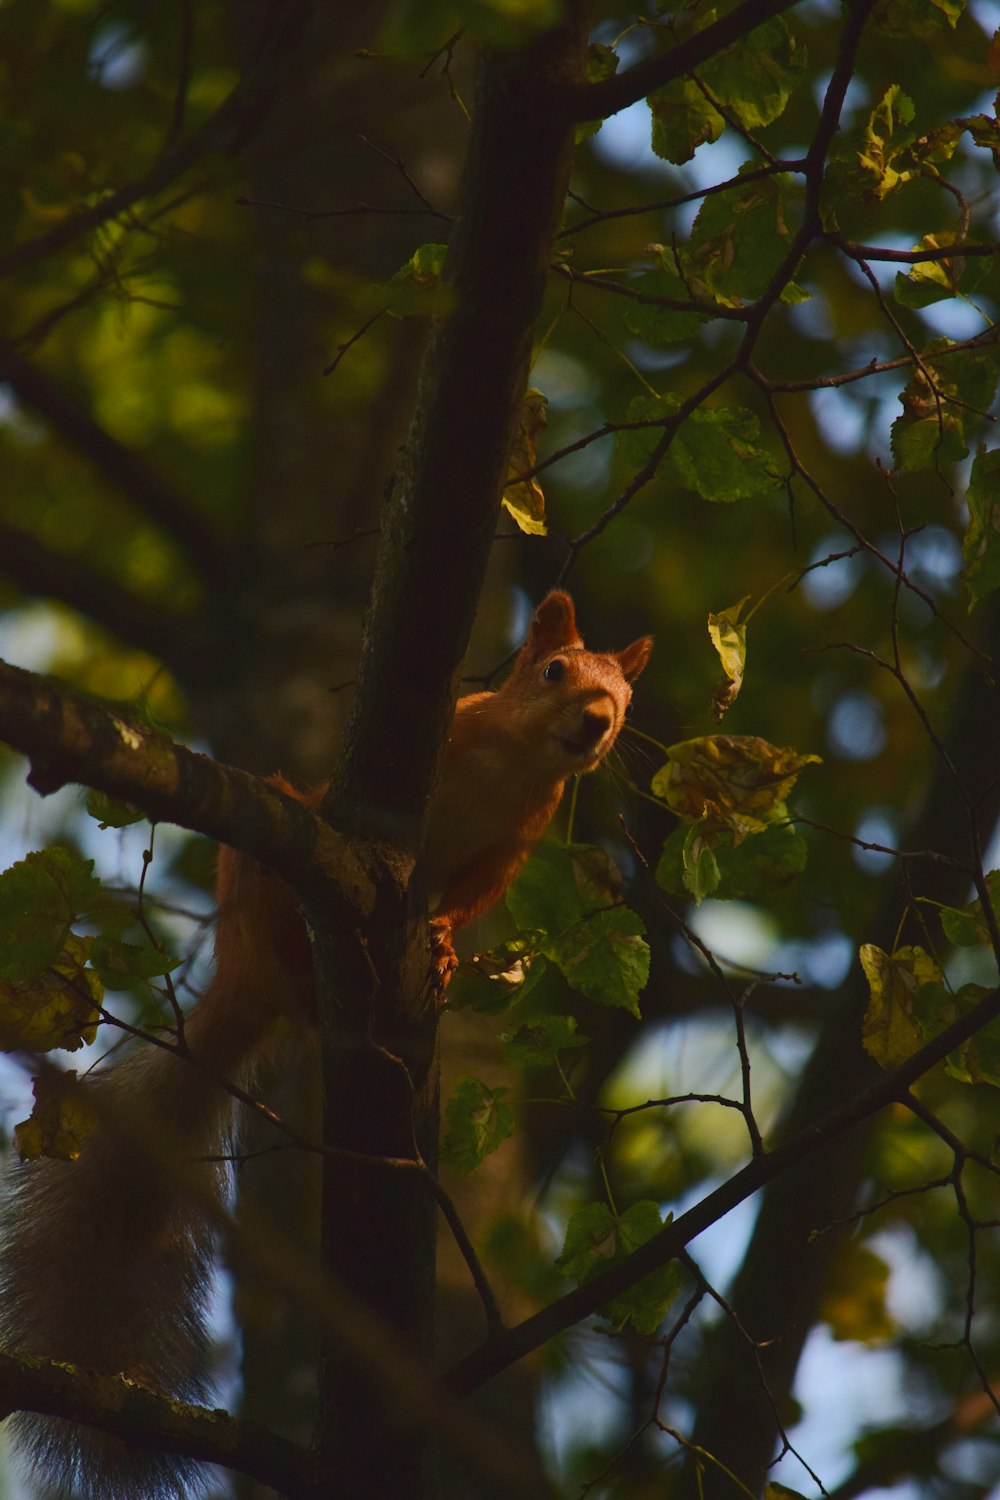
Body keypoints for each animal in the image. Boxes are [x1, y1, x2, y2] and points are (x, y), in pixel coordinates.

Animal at [0, 591, 650, 1500]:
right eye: (554, 671)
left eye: (623, 702)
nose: (595, 723)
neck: (516, 762)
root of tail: (247, 988)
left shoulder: (515, 845)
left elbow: (471, 898)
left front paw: (443, 942)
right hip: (261, 875)